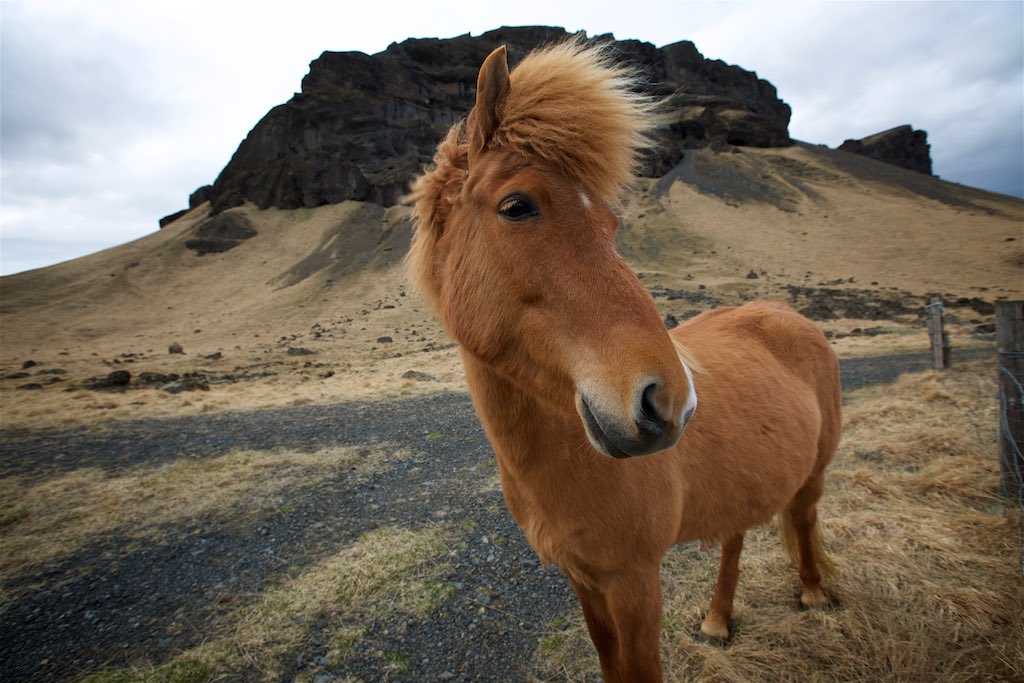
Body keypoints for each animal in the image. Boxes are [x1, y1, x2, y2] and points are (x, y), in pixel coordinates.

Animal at [407, 40, 839, 679]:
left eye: (612, 223)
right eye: (517, 206)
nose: (671, 403)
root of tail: (789, 316)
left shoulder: (635, 582)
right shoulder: (584, 580)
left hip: (814, 473)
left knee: (804, 518)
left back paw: (811, 593)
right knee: (735, 534)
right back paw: (718, 620)